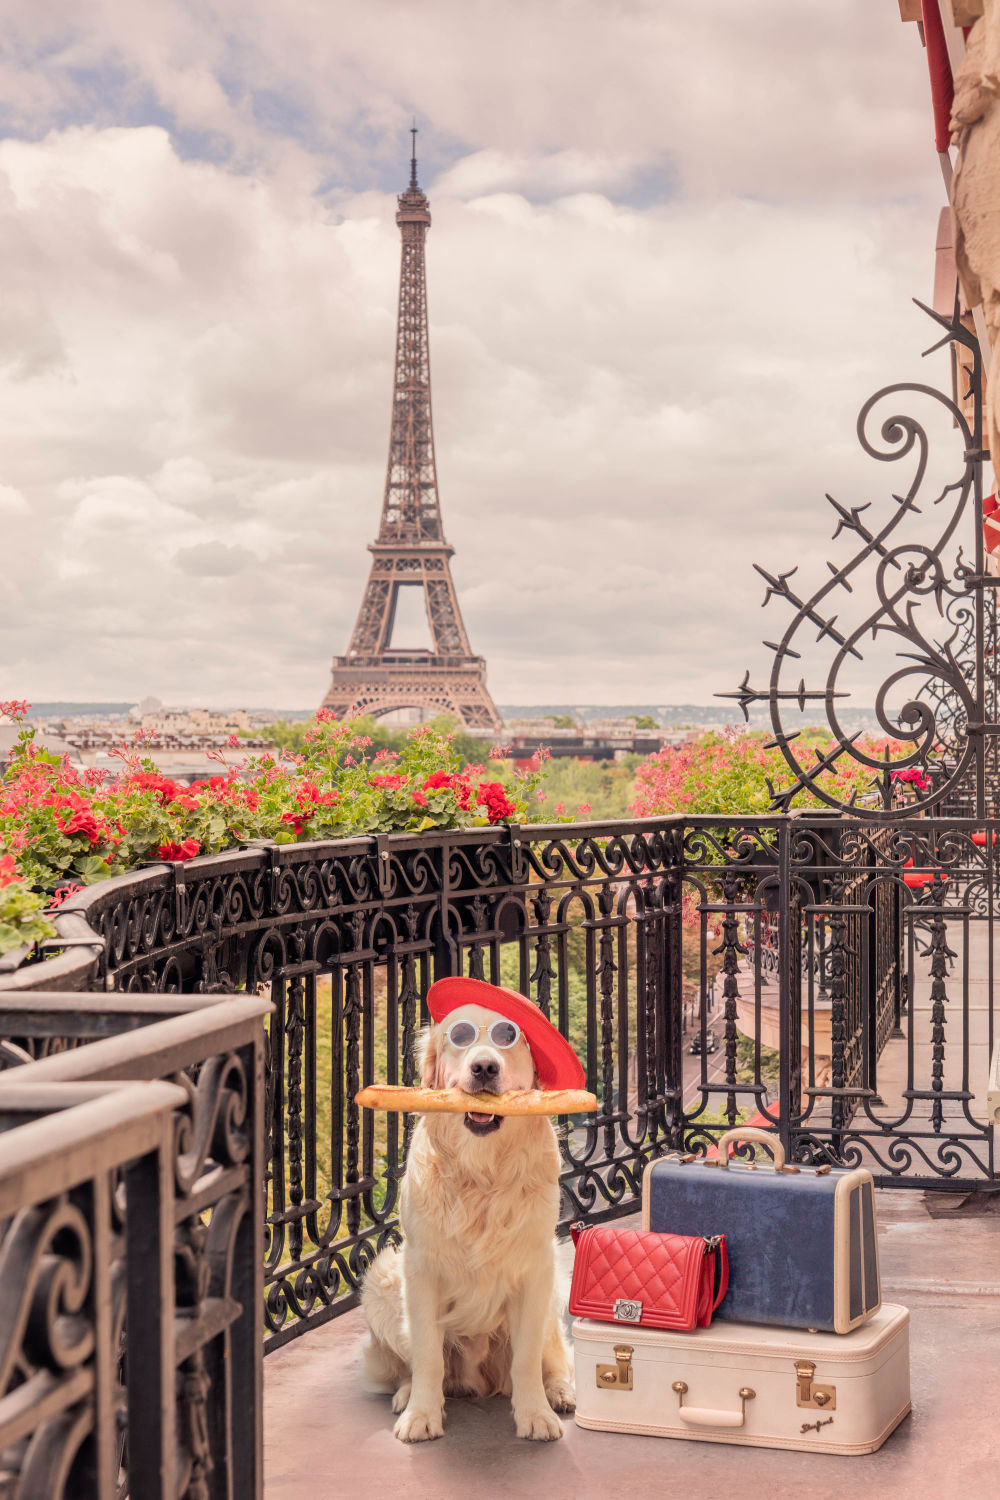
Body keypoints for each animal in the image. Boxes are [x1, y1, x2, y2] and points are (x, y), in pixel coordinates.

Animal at [364, 996, 575, 1440]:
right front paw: (422, 1415)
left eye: (509, 1037)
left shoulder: (535, 1270)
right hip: (381, 1282)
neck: (481, 1173)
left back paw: (560, 1391)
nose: (484, 1068)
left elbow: (527, 1358)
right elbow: (428, 1355)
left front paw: (535, 1414)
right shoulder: (421, 1271)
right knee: (413, 1366)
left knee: (556, 1356)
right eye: (458, 1037)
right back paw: (407, 1395)